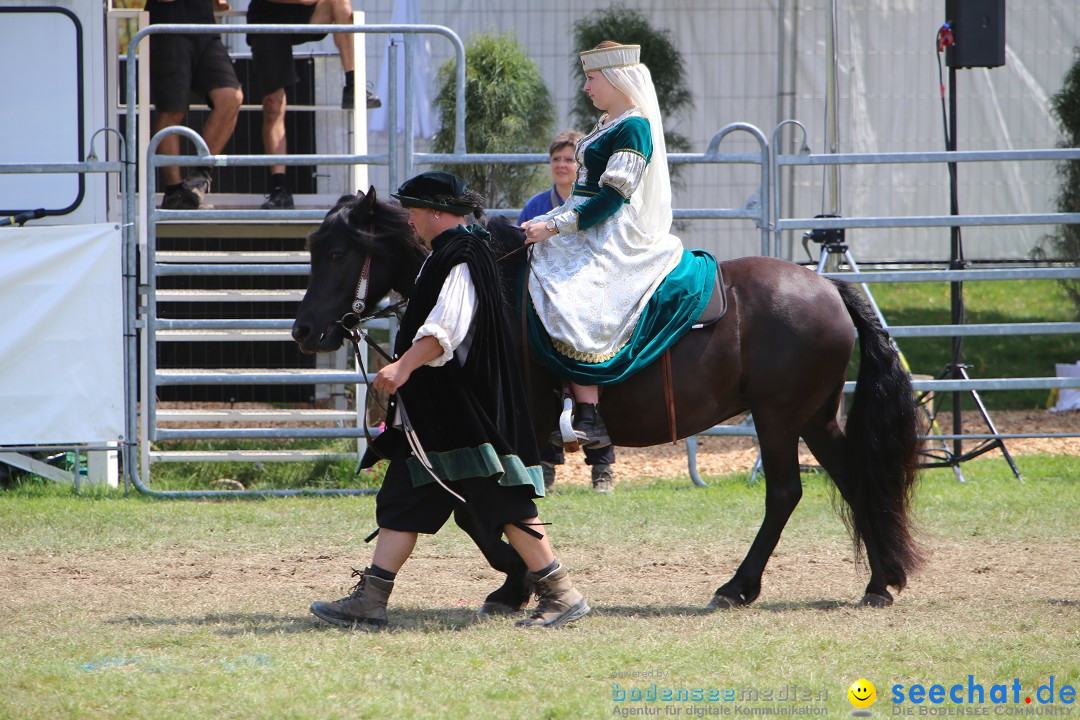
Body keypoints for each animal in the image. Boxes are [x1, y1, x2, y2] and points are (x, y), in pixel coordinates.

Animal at [293, 188, 920, 613]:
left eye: (338, 253)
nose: (303, 331)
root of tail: (828, 287)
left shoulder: (506, 430)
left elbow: (486, 510)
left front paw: (516, 582)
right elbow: (477, 507)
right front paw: (517, 582)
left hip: (778, 417)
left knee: (786, 493)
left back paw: (738, 586)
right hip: (812, 418)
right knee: (854, 478)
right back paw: (879, 582)